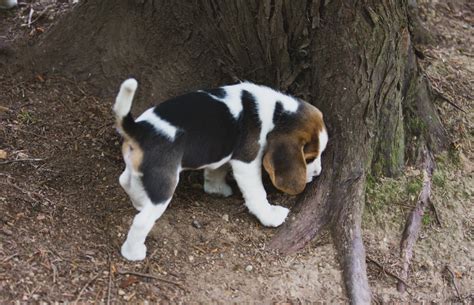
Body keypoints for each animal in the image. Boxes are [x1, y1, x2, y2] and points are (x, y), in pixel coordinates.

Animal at [113, 78, 328, 258]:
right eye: (309, 158)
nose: (318, 173)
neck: (276, 111)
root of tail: (139, 130)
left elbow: (216, 170)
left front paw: (215, 189)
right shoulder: (246, 161)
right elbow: (257, 193)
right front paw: (269, 215)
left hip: (138, 169)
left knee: (124, 181)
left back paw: (139, 202)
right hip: (164, 184)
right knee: (142, 220)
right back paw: (133, 252)